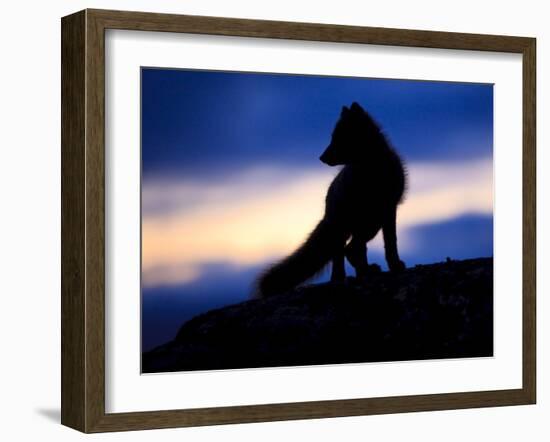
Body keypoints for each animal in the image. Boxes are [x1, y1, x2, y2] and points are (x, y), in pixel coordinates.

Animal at [256, 102, 408, 296]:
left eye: (339, 138)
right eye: (332, 138)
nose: (321, 158)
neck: (371, 171)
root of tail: (326, 209)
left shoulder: (389, 209)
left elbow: (391, 243)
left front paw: (395, 265)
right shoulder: (364, 212)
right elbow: (364, 249)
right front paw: (366, 272)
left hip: (371, 225)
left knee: (349, 249)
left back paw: (362, 272)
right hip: (353, 227)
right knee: (346, 251)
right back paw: (347, 276)